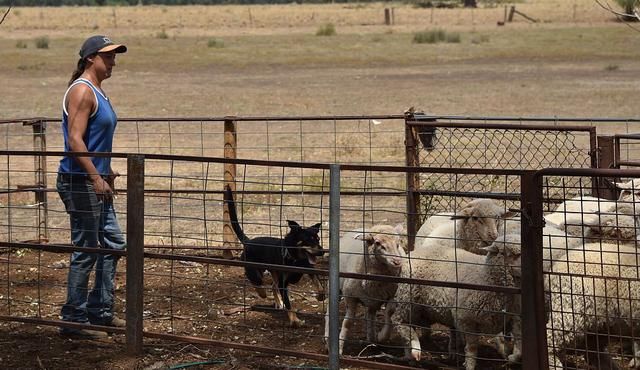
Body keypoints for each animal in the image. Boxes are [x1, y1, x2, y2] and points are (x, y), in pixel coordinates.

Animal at [322, 223, 408, 356]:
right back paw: (327, 339)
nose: (397, 261)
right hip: (335, 287)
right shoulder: (350, 297)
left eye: (398, 243)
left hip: (372, 299)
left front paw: (382, 336)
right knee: (329, 311)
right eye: (377, 243)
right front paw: (339, 348)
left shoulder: (392, 295)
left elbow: (390, 312)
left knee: (370, 315)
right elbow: (348, 322)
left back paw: (372, 339)